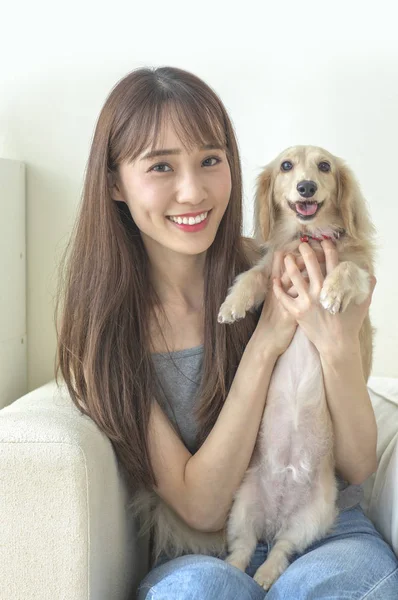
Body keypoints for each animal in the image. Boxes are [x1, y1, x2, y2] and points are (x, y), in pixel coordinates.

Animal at [218, 146, 376, 592]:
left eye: (325, 167)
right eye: (287, 166)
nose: (306, 187)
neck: (310, 238)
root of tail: (277, 515)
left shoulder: (363, 276)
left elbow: (349, 269)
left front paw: (332, 291)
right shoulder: (273, 267)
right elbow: (253, 275)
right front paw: (234, 304)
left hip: (314, 515)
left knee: (282, 549)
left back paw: (266, 574)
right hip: (241, 507)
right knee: (243, 547)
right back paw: (237, 570)